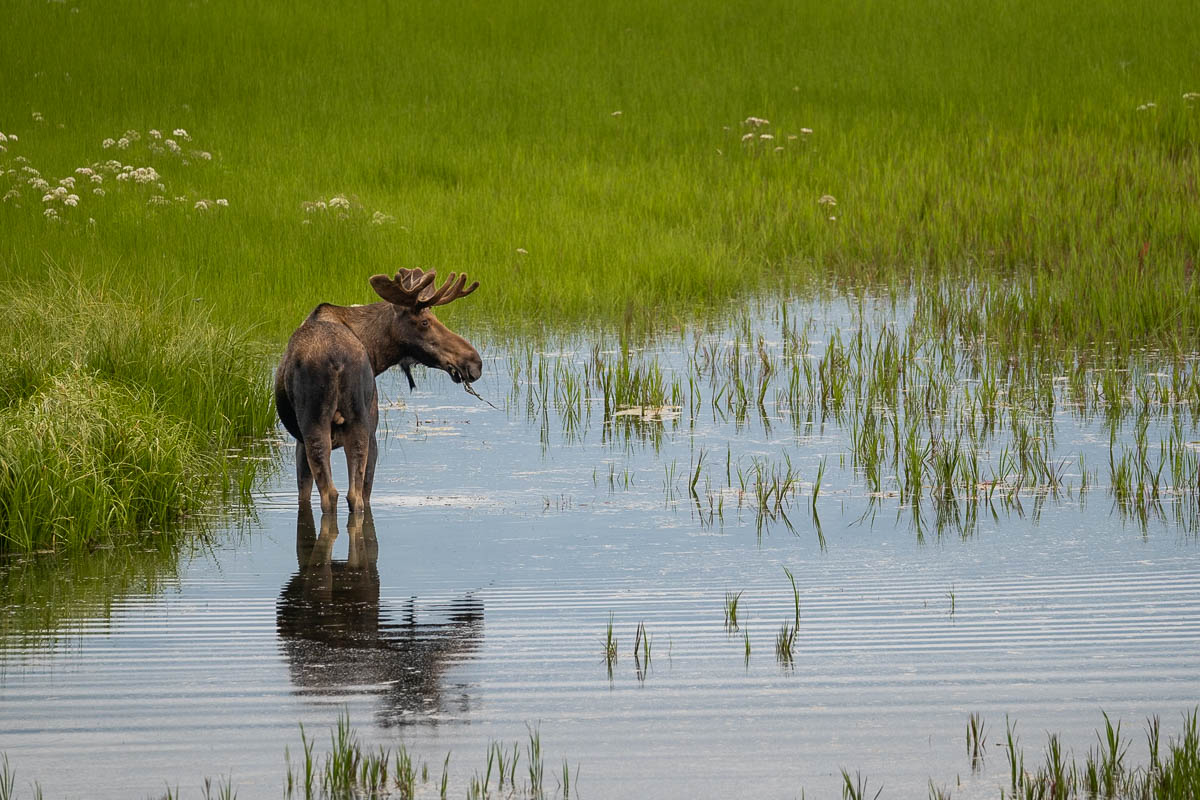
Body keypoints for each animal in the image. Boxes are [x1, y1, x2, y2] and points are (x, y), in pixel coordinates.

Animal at [275, 268, 482, 514]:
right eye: (425, 322)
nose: (474, 361)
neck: (375, 352)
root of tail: (336, 361)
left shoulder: (300, 440)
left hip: (320, 425)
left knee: (338, 494)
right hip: (355, 425)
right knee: (352, 495)